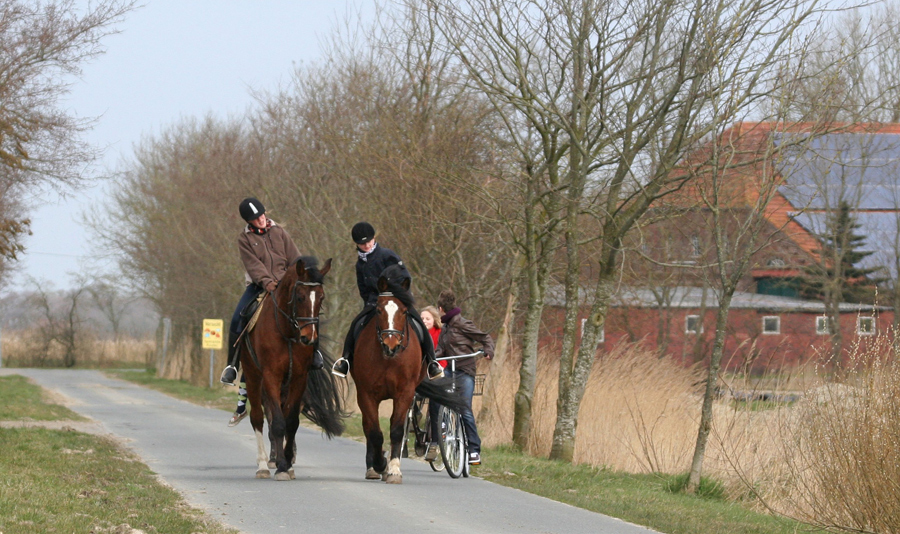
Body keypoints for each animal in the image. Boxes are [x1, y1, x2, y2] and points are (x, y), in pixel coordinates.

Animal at [239, 255, 344, 482]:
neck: (286, 333)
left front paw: (286, 462)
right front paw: (280, 465)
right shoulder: (271, 377)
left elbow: (291, 422)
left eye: (321, 297)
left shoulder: (299, 378)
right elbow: (277, 423)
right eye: (300, 297)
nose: (308, 337)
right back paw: (263, 465)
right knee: (258, 419)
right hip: (253, 378)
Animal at [352, 266, 468, 486]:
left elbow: (397, 430)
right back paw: (372, 468)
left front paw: (394, 470)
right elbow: (374, 432)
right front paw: (380, 464)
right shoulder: (366, 394)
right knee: (368, 428)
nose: (391, 345)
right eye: (378, 310)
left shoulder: (404, 393)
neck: (388, 359)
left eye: (404, 311)